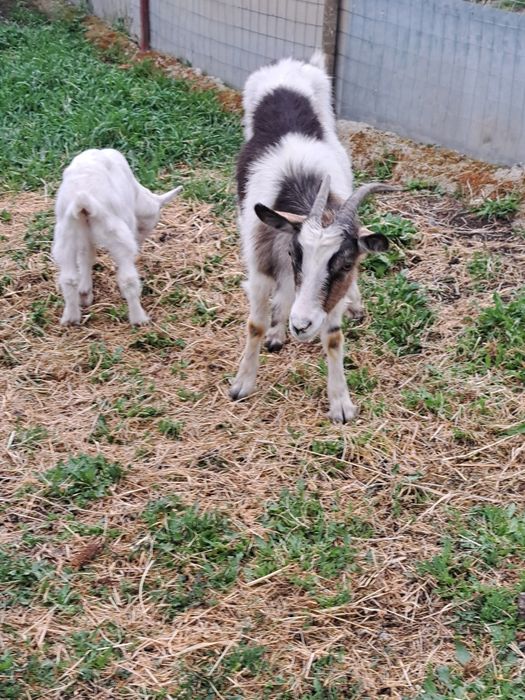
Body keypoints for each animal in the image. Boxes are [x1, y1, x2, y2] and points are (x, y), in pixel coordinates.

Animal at [52, 148, 181, 326]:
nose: (138, 243)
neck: (137, 194)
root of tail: (83, 202)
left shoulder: (85, 237)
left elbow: (86, 257)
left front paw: (85, 294)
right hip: (116, 233)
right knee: (128, 279)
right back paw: (139, 319)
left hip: (67, 235)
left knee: (69, 278)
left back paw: (71, 317)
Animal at [230, 53, 397, 423]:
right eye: (297, 255)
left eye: (346, 264)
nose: (302, 325)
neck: (302, 187)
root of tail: (288, 65)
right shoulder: (262, 265)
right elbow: (254, 325)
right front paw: (242, 384)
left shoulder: (330, 296)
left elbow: (333, 338)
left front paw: (341, 404)